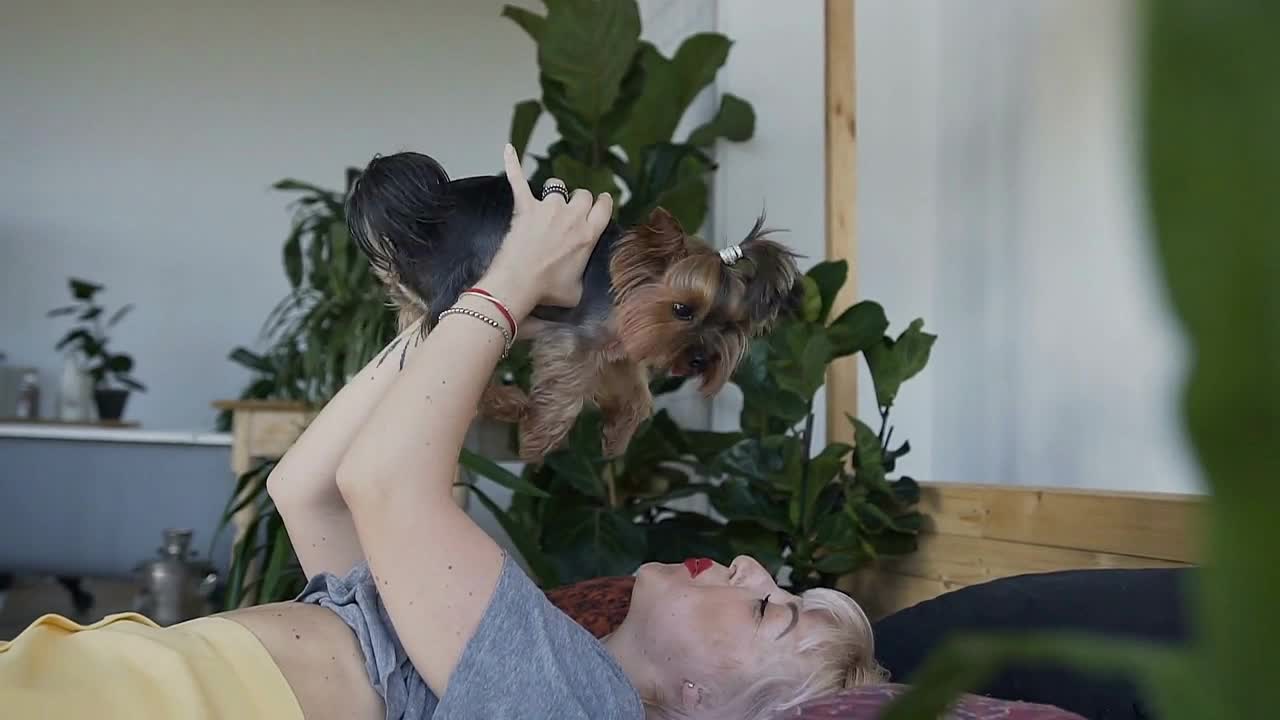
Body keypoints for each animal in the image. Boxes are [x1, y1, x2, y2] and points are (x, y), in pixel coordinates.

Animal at [345, 152, 793, 458]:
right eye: (682, 309)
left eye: (730, 326)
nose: (701, 359)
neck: (622, 291)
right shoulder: (576, 340)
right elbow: (565, 392)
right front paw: (536, 440)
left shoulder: (616, 350)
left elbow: (635, 394)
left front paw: (616, 436)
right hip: (460, 285)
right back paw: (509, 403)